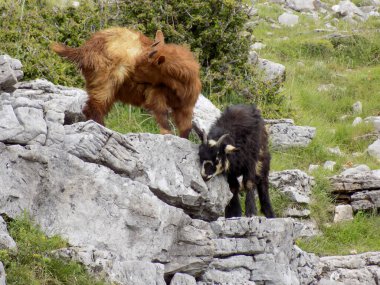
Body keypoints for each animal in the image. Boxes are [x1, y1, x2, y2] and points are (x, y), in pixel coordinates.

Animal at [52, 27, 205, 138]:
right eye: (137, 62)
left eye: (142, 67)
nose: (131, 75)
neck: (178, 86)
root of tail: (84, 49)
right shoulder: (157, 90)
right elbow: (159, 109)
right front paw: (167, 132)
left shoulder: (186, 102)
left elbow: (186, 124)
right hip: (106, 74)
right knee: (98, 101)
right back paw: (102, 126)